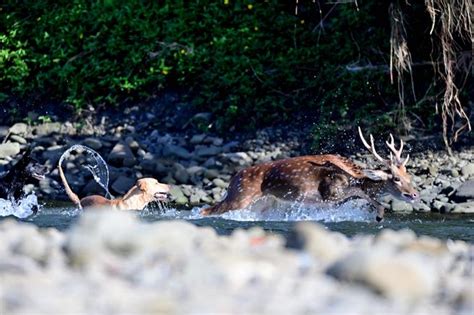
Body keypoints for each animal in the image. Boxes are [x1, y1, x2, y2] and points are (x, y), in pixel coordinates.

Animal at [200, 128, 418, 222]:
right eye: (396, 178)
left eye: (409, 177)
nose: (414, 194)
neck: (352, 174)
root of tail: (233, 178)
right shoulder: (329, 192)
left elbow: (374, 201)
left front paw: (379, 217)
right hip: (240, 196)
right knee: (206, 210)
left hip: (262, 203)